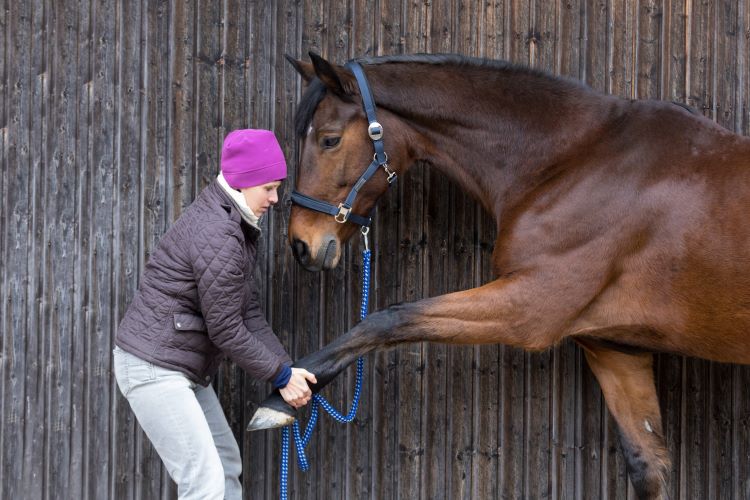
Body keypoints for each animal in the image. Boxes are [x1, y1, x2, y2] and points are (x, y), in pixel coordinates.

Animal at [248, 52, 750, 499]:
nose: (302, 245)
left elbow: (389, 319)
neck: (574, 162)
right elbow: (647, 467)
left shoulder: (529, 309)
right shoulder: (616, 350)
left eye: (329, 140)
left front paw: (282, 397)